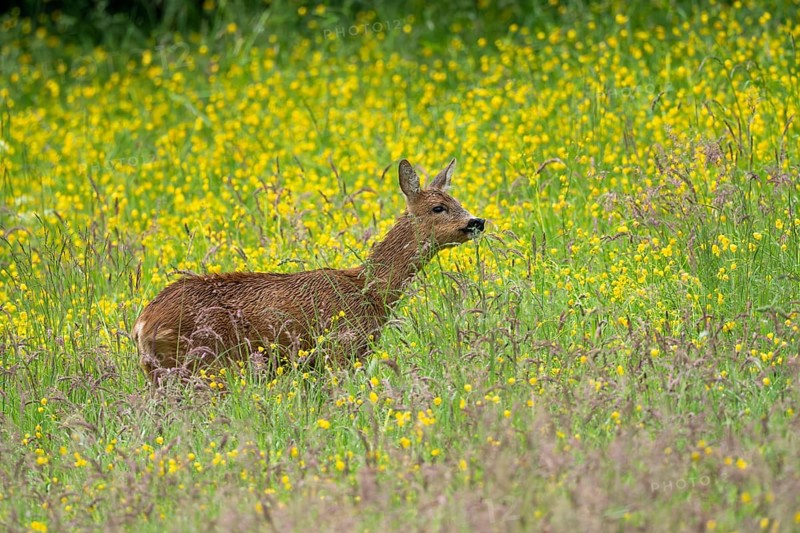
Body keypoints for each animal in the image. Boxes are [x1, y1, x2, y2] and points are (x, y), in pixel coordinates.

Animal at [132, 158, 485, 385]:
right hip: (201, 363)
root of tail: (141, 324)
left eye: (457, 200)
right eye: (438, 208)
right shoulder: (340, 351)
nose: (477, 221)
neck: (369, 291)